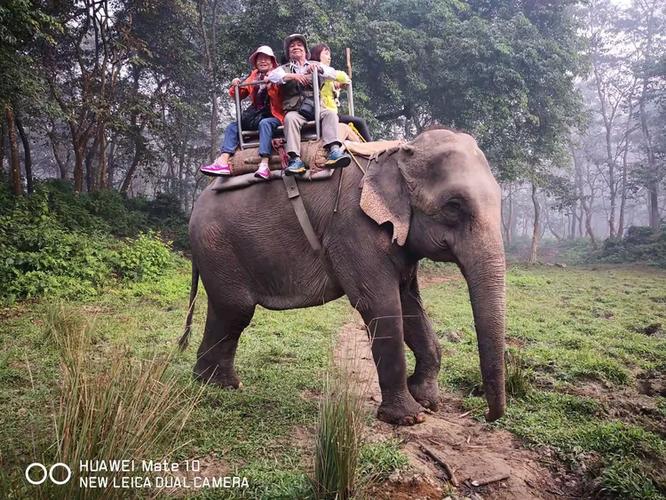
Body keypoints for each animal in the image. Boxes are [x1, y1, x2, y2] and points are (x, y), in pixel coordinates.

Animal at [181, 128, 506, 425]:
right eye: (453, 206)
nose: (487, 415)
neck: (396, 154)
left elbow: (410, 303)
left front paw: (427, 401)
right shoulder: (353, 227)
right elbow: (381, 305)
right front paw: (408, 417)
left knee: (225, 311)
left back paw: (217, 382)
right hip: (217, 243)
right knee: (235, 310)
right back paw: (220, 383)